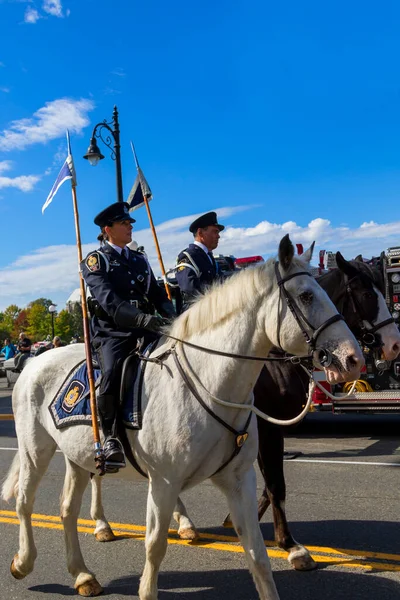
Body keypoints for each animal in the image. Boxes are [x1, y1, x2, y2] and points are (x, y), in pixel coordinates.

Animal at [0, 238, 362, 600]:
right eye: (306, 296)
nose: (353, 359)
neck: (209, 381)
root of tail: (34, 362)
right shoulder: (164, 482)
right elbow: (155, 547)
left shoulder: (238, 479)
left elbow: (258, 554)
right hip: (35, 450)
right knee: (24, 502)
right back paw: (23, 562)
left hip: (77, 457)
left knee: (67, 510)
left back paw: (82, 574)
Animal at [81, 204, 175, 472]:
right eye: (122, 220)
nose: (131, 224)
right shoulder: (92, 264)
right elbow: (110, 297)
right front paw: (150, 320)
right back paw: (111, 448)